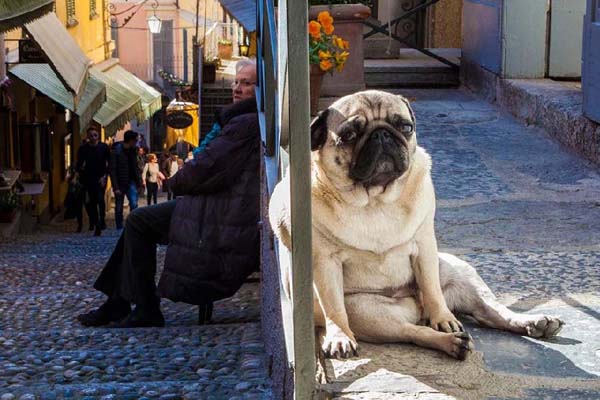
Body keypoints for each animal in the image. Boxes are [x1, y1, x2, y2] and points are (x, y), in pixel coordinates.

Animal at [270, 90, 564, 360]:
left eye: (405, 127)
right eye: (349, 135)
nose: (382, 134)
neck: (375, 200)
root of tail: (417, 311)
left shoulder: (424, 246)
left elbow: (432, 289)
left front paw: (443, 319)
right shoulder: (324, 261)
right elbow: (333, 308)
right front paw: (340, 337)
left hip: (459, 270)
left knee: (489, 311)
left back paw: (530, 323)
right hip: (367, 312)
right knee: (411, 331)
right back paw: (452, 343)